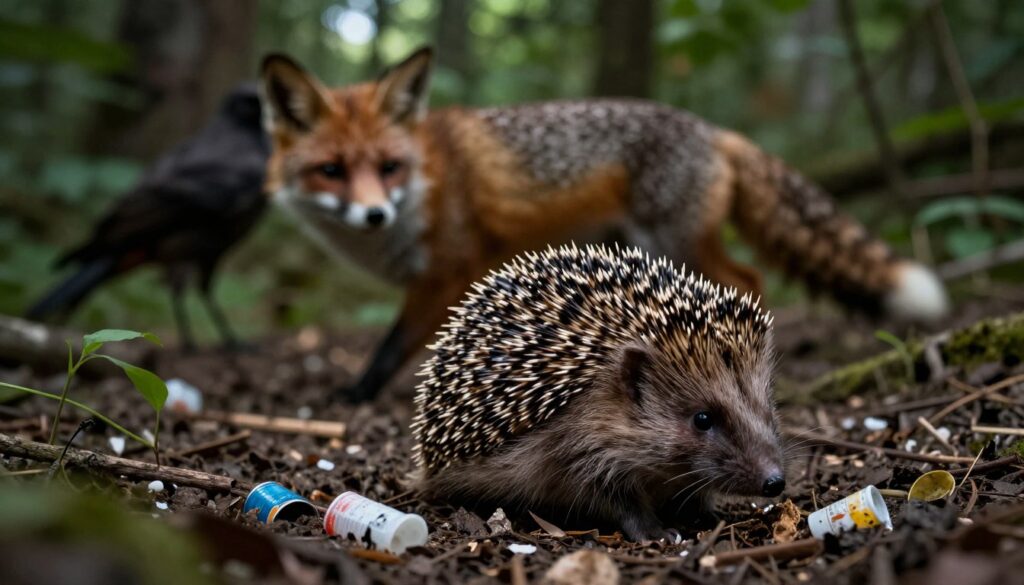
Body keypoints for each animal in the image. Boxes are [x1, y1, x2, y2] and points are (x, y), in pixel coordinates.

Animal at [259, 47, 949, 402]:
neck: (425, 180)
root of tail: (712, 130)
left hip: (676, 239)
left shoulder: (450, 271)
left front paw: (357, 395)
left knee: (748, 279)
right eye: (330, 171)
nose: (375, 213)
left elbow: (393, 345)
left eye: (388, 167)